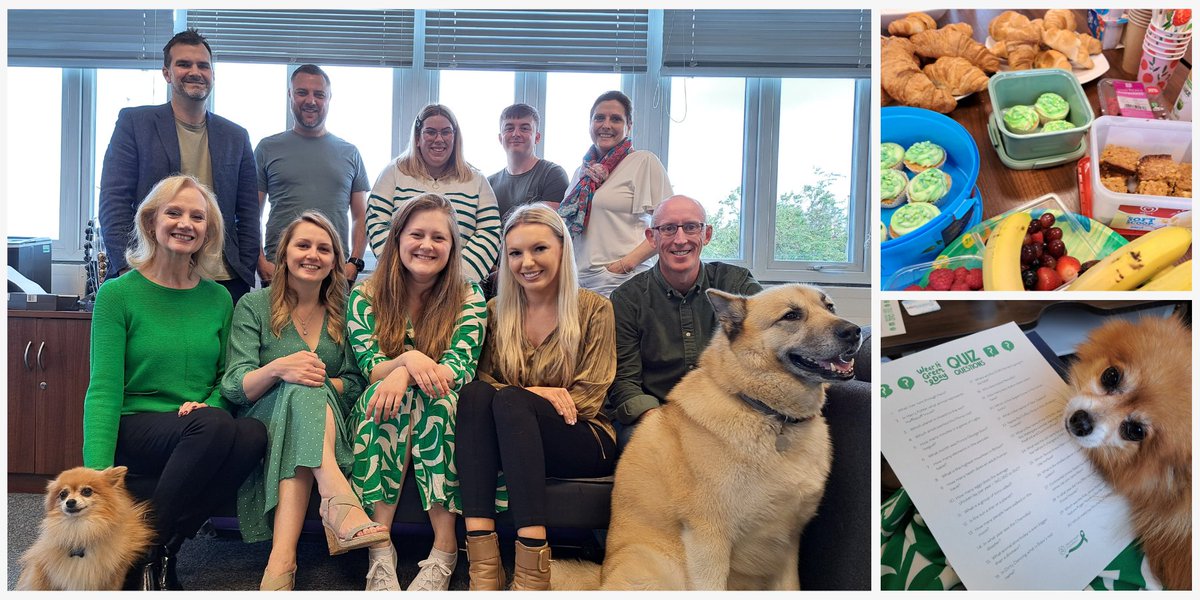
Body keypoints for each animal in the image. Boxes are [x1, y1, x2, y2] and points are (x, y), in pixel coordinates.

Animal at [556, 283, 859, 588]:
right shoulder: (709, 540)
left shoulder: (787, 546)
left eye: (829, 307)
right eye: (792, 315)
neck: (767, 413)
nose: (854, 331)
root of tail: (601, 578)